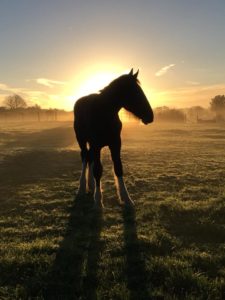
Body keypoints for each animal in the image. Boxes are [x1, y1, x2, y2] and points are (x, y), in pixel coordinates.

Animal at [74, 69, 153, 207]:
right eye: (135, 92)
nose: (150, 116)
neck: (104, 113)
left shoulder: (115, 144)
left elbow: (118, 168)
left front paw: (126, 198)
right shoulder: (96, 145)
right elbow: (98, 170)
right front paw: (98, 201)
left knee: (89, 158)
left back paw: (91, 185)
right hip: (82, 141)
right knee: (85, 157)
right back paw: (82, 188)